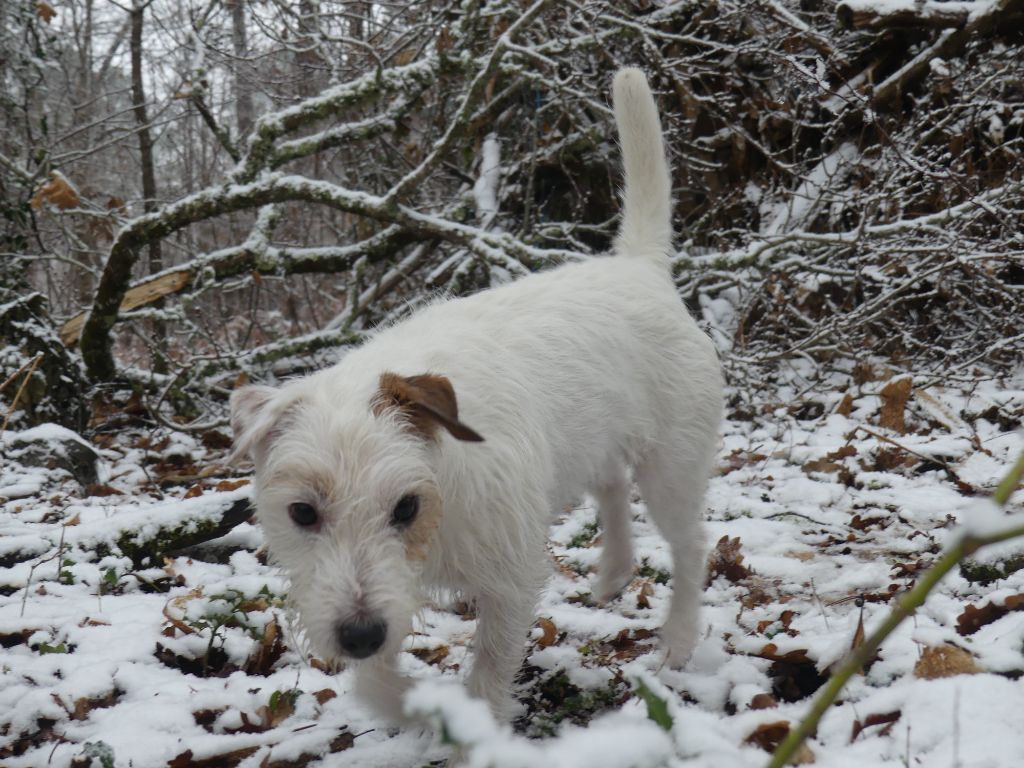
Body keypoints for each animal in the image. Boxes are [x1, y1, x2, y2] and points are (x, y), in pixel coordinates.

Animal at [229, 68, 723, 722]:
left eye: (406, 508)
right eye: (302, 513)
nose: (359, 636)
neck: (443, 493)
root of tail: (639, 268)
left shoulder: (509, 581)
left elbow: (489, 671)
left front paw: (468, 724)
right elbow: (376, 681)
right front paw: (409, 709)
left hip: (672, 466)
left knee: (689, 544)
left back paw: (679, 638)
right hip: (590, 435)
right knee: (611, 483)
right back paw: (615, 570)